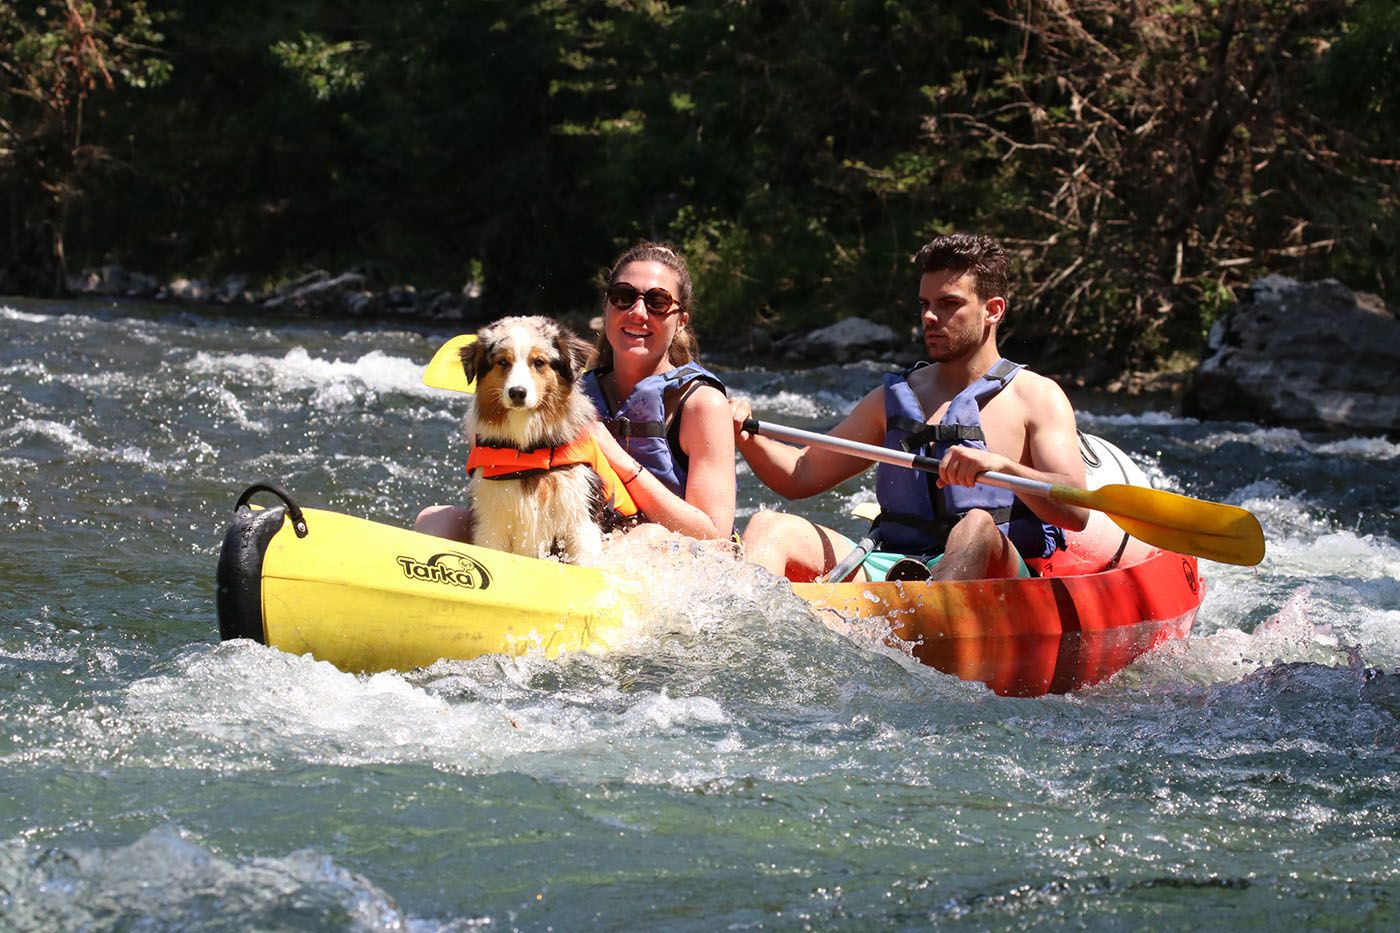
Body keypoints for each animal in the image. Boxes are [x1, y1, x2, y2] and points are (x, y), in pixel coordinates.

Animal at [459, 313, 635, 560]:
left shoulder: (581, 518)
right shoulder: (490, 522)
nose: (517, 393)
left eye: (539, 362)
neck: (527, 451)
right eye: (503, 362)